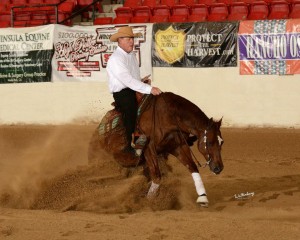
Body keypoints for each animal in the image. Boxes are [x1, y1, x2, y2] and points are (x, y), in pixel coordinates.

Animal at [88, 92, 224, 206]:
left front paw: (203, 197)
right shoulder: (149, 149)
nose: (219, 168)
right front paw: (149, 202)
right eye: (210, 142)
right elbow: (157, 176)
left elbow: (193, 168)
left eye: (221, 142)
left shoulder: (178, 147)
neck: (169, 116)